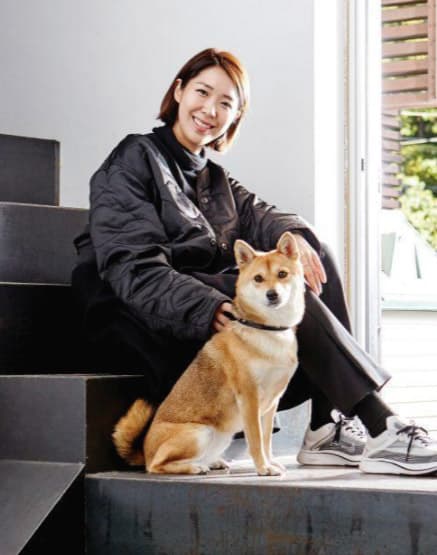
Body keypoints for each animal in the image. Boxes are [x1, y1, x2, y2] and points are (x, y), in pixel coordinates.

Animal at [112, 231, 305, 476]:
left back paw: (212, 462)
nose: (272, 295)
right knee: (156, 466)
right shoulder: (249, 398)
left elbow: (267, 440)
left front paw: (270, 462)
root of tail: (145, 451)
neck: (267, 329)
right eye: (258, 279)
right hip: (200, 432)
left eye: (282, 274)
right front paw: (263, 468)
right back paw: (195, 467)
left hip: (221, 436)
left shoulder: (271, 403)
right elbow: (256, 440)